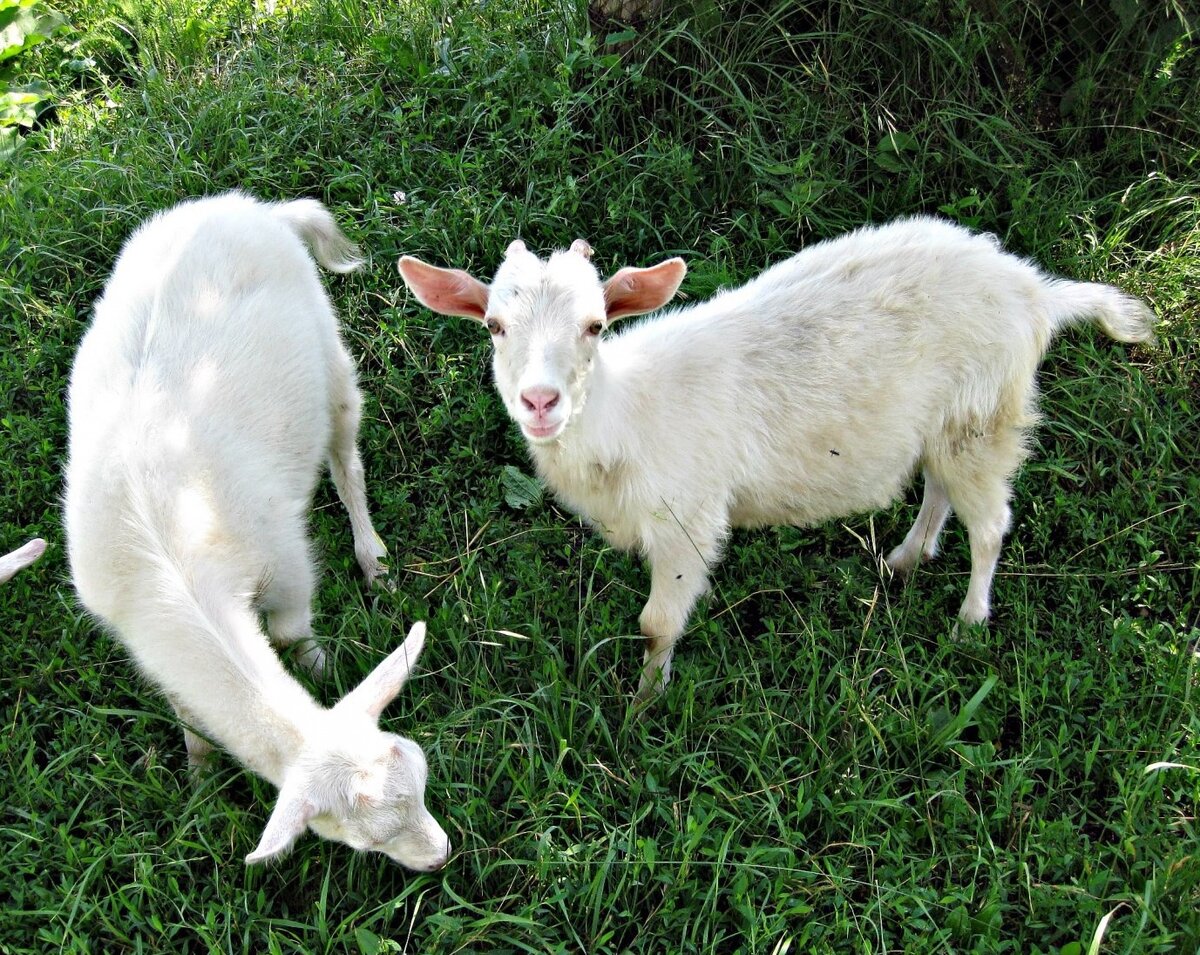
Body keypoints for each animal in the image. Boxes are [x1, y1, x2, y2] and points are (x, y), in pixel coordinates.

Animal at [60, 190, 448, 868]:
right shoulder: (146, 639)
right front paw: (199, 781)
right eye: (365, 842)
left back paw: (372, 560)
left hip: (328, 347)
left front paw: (319, 667)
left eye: (424, 776)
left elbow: (291, 634)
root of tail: (260, 209)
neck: (174, 562)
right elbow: (190, 718)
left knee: (345, 454)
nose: (444, 855)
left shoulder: (287, 562)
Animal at [398, 219, 1156, 705]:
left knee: (992, 523)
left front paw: (644, 704)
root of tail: (1036, 291)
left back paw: (969, 623)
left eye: (594, 325)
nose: (540, 401)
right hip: (944, 424)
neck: (626, 414)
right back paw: (906, 559)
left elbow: (655, 624)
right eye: (494, 326)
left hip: (984, 415)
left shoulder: (688, 520)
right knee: (941, 489)